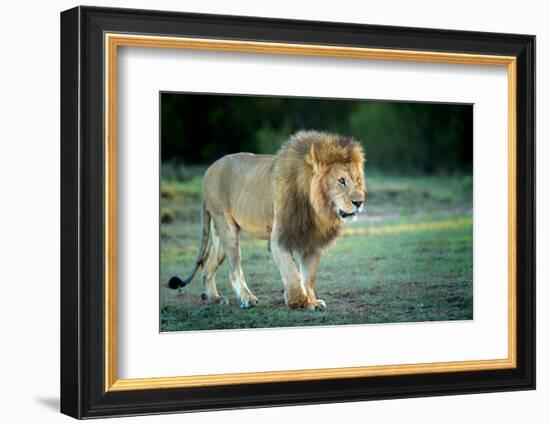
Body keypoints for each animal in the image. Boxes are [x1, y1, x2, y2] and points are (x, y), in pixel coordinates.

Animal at [168, 129, 366, 308]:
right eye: (341, 181)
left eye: (357, 180)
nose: (359, 202)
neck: (316, 209)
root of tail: (208, 171)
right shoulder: (279, 238)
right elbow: (292, 273)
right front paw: (297, 301)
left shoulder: (313, 241)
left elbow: (308, 277)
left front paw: (311, 301)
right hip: (226, 227)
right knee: (234, 268)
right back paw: (246, 299)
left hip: (219, 234)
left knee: (207, 265)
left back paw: (213, 298)